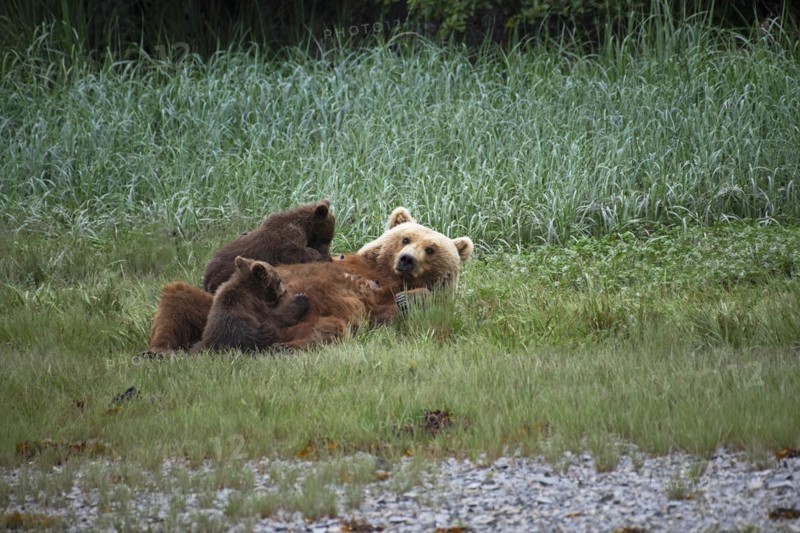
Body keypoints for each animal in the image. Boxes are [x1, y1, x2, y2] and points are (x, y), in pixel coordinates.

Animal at [202, 199, 335, 294]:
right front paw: (315, 255)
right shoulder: (288, 240)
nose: (329, 257)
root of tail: (206, 278)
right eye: (327, 240)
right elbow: (294, 254)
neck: (306, 229)